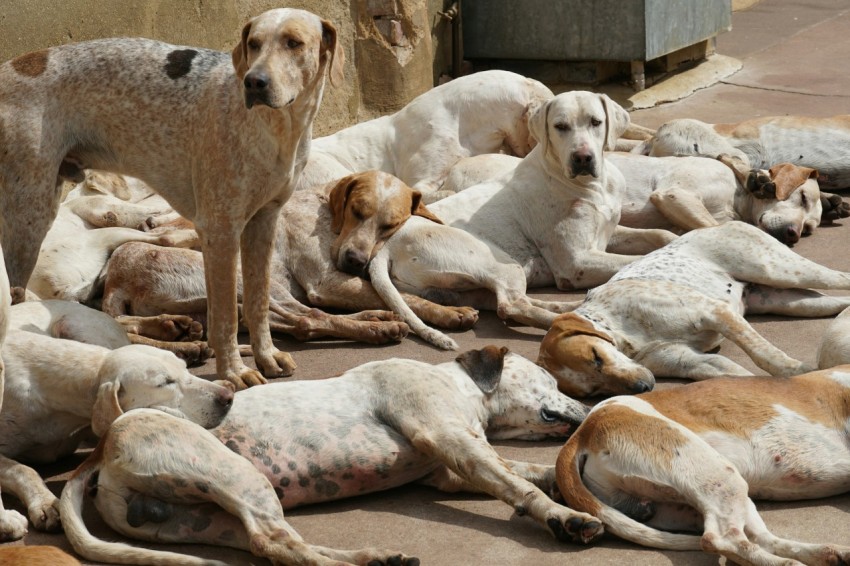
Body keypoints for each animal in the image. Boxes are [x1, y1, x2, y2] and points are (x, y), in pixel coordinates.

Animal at [0, 8, 344, 390]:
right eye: (253, 44)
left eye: (293, 43)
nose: (254, 82)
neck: (277, 128)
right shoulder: (221, 231)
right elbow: (225, 314)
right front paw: (233, 371)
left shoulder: (263, 223)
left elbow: (257, 302)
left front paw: (266, 356)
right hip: (28, 219)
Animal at [58, 348, 596, 564]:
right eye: (550, 380)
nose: (591, 408)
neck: (463, 387)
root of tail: (99, 451)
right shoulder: (448, 438)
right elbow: (516, 484)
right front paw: (563, 517)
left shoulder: (448, 468)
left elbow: (523, 470)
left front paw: (559, 484)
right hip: (236, 475)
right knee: (276, 544)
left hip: (200, 519)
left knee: (274, 545)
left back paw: (374, 558)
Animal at [540, 222, 848, 400]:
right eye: (594, 390)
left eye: (596, 357)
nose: (642, 389)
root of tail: (722, 222)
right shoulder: (691, 362)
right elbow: (736, 374)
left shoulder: (715, 312)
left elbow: (766, 356)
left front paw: (799, 371)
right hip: (792, 301)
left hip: (781, 270)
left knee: (841, 276)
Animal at [548, 366, 850, 564]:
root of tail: (584, 430)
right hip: (719, 475)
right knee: (721, 539)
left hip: (713, 493)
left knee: (759, 539)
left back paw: (829, 554)